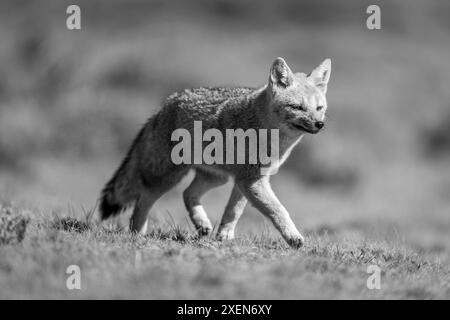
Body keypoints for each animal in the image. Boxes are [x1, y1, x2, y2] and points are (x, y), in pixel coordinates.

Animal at [98, 57, 330, 248]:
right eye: (298, 107)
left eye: (319, 108)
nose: (320, 124)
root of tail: (163, 106)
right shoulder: (251, 180)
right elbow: (278, 209)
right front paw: (293, 237)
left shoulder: (246, 180)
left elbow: (233, 211)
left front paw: (224, 236)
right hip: (168, 178)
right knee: (143, 201)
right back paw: (137, 234)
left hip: (216, 178)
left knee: (187, 193)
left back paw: (201, 224)